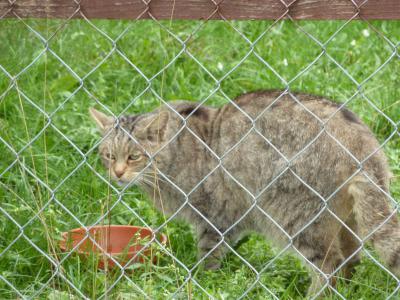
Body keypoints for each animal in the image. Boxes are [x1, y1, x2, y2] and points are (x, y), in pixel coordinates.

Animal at [89, 90, 398, 296]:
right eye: (108, 155)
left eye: (134, 157)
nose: (117, 173)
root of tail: (363, 140)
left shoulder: (215, 217)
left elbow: (208, 254)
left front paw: (204, 280)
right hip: (346, 221)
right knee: (352, 258)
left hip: (299, 218)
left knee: (329, 264)